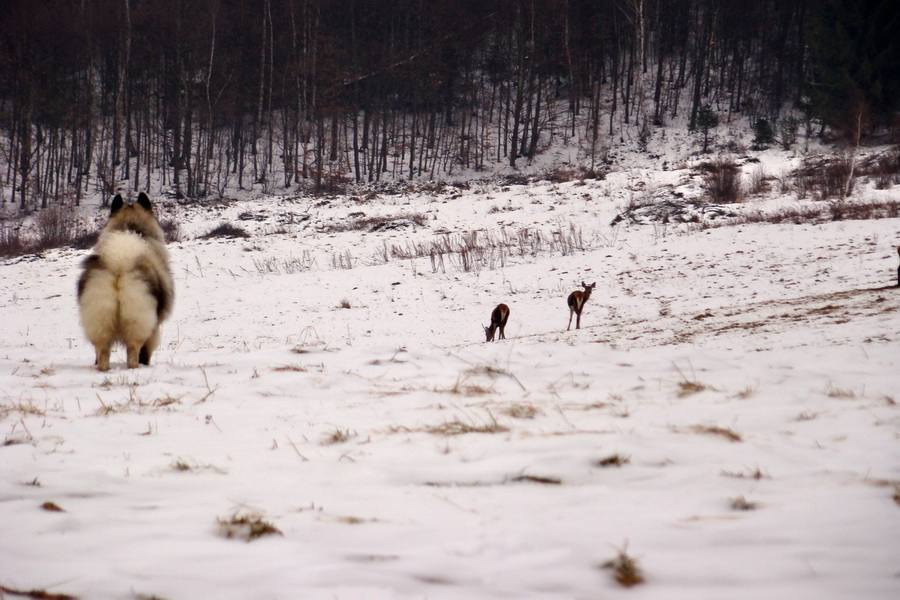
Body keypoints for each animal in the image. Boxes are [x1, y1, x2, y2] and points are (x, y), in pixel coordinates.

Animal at [79, 193, 176, 370]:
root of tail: (119, 263)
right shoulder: (154, 327)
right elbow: (146, 351)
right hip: (138, 320)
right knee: (133, 350)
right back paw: (135, 367)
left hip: (99, 318)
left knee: (102, 350)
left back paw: (103, 369)